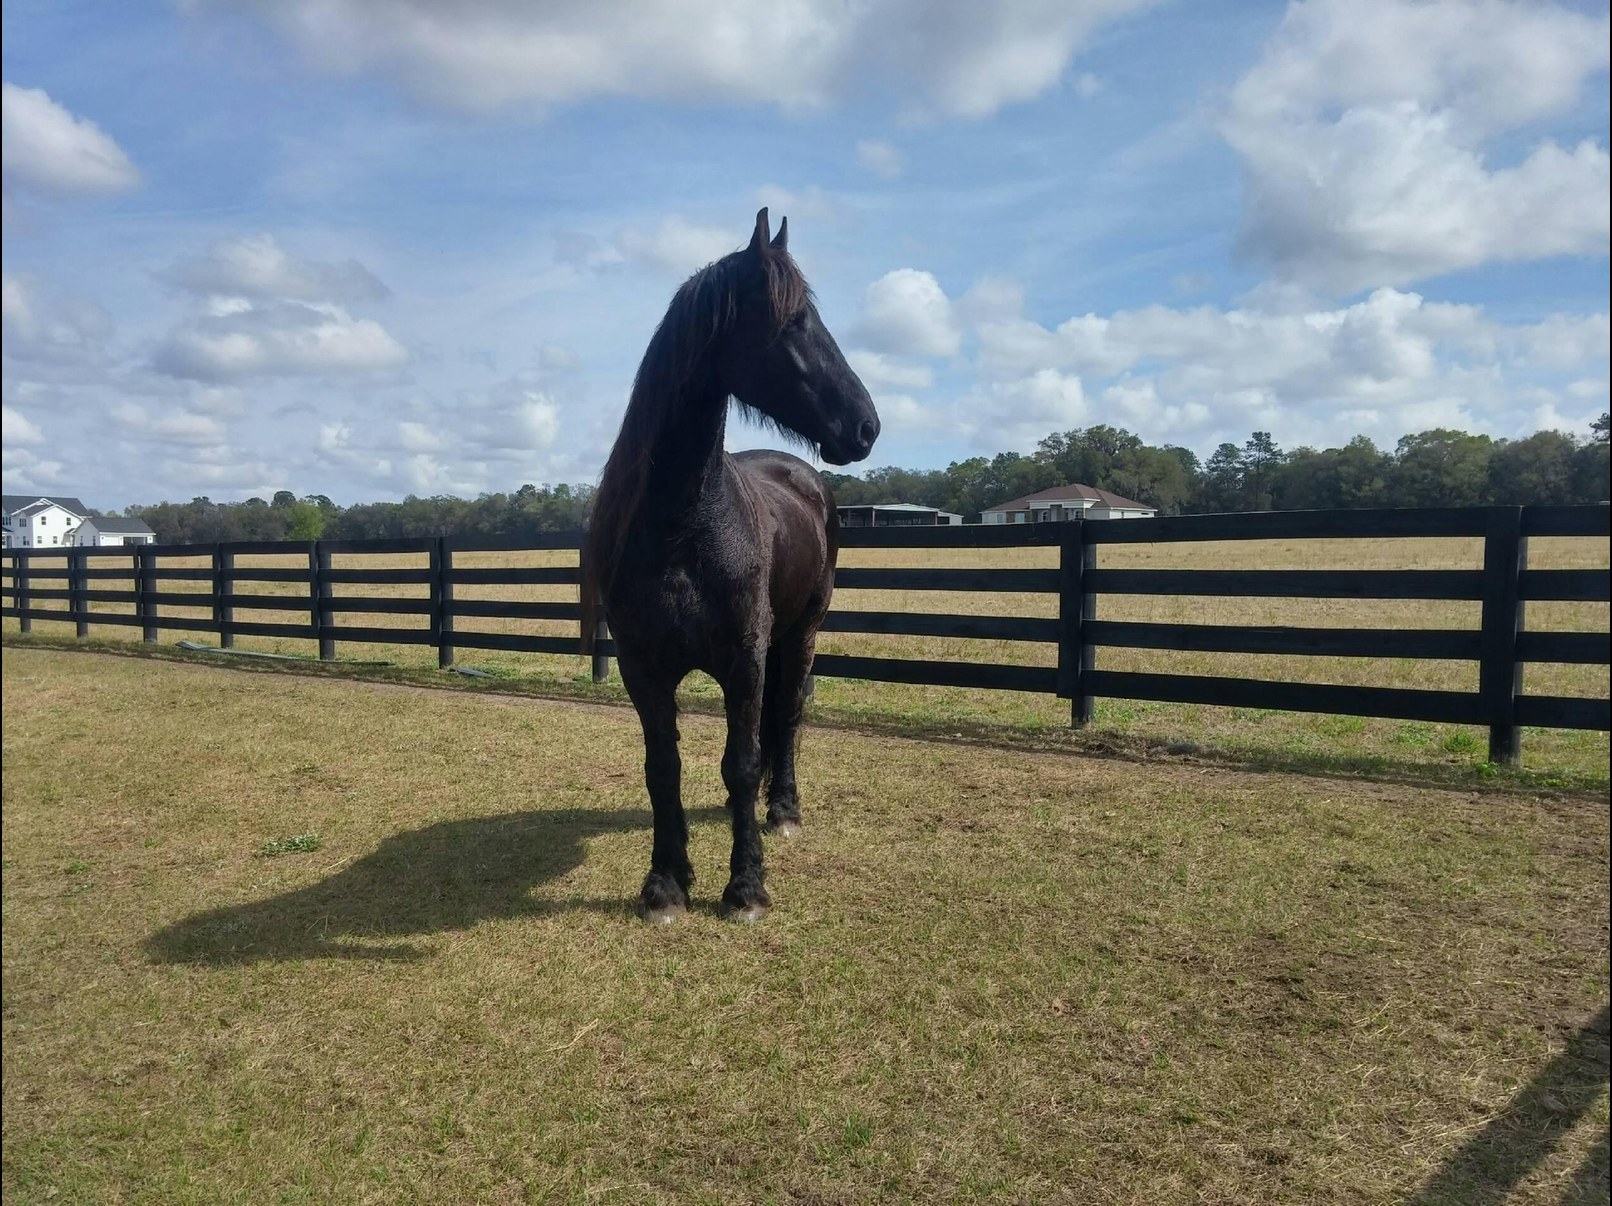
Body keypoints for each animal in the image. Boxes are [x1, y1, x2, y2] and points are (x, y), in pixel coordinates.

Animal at [581, 208, 880, 923]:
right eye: (795, 321)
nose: (865, 426)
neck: (683, 530)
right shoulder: (643, 668)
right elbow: (664, 769)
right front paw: (666, 883)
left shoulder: (744, 661)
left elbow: (742, 762)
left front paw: (746, 887)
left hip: (800, 637)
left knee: (788, 718)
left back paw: (783, 810)